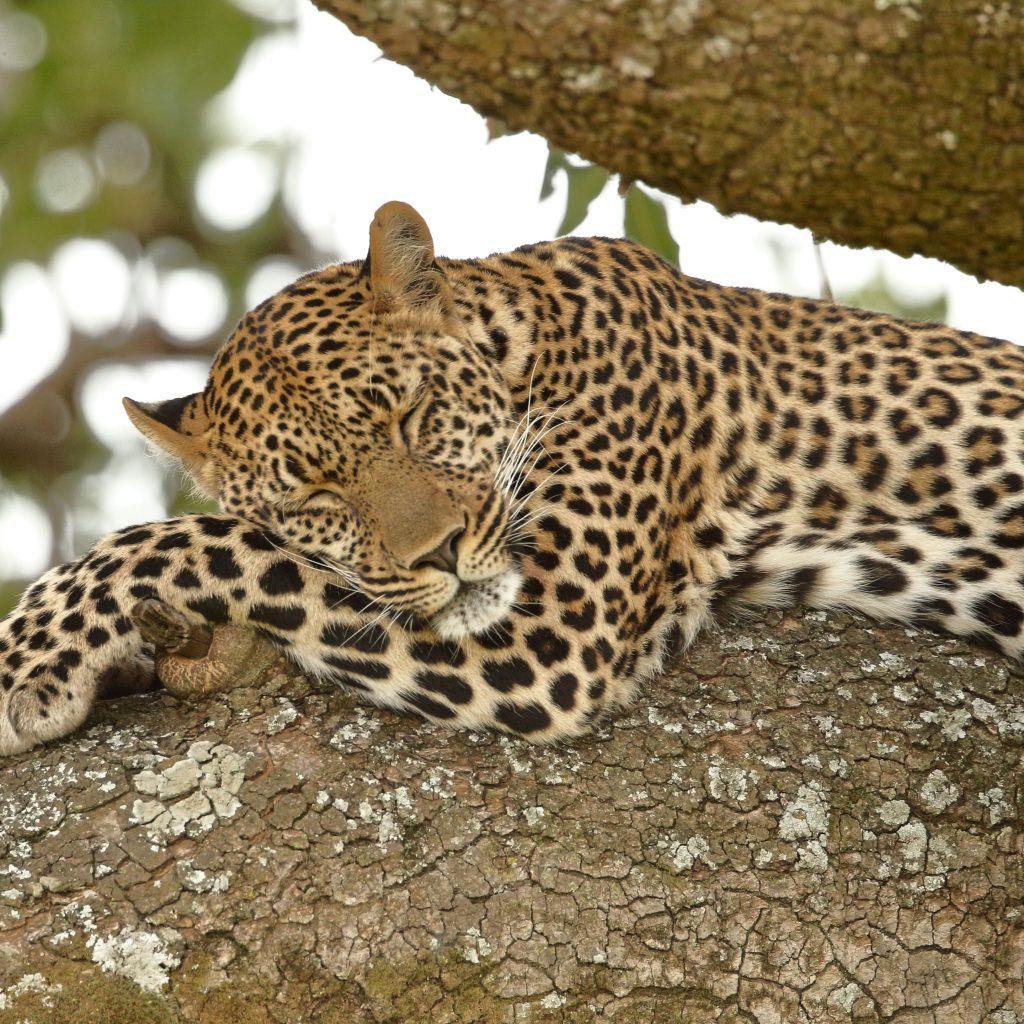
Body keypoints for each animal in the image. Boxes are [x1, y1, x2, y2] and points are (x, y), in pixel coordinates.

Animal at [3, 200, 1024, 757]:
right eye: (314, 496)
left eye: (413, 415)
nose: (444, 553)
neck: (531, 338)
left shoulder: (553, 633)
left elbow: (201, 541)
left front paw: (28, 656)